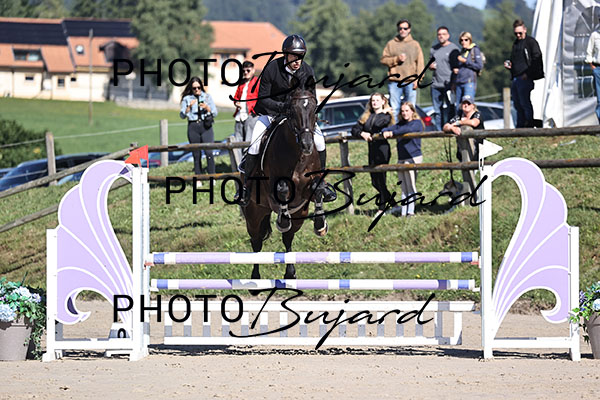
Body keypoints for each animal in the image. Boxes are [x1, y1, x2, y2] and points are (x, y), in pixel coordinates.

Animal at [242, 87, 328, 281]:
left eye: (314, 110)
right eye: (293, 112)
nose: (307, 145)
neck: (297, 154)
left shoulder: (308, 187)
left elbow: (317, 188)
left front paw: (320, 224)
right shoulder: (273, 186)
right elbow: (282, 188)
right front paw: (282, 220)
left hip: (299, 215)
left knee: (288, 238)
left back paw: (290, 272)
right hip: (254, 214)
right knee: (256, 242)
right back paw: (255, 276)